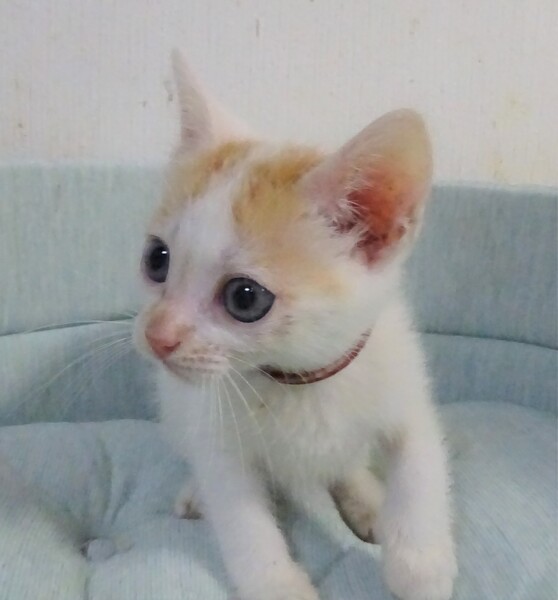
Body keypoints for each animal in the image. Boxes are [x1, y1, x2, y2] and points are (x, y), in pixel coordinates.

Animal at [134, 50, 457, 600]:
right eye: (157, 259)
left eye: (245, 298)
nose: (158, 337)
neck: (298, 378)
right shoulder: (217, 438)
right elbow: (241, 518)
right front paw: (277, 583)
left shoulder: (400, 383)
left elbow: (419, 463)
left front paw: (420, 563)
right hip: (177, 412)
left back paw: (366, 499)